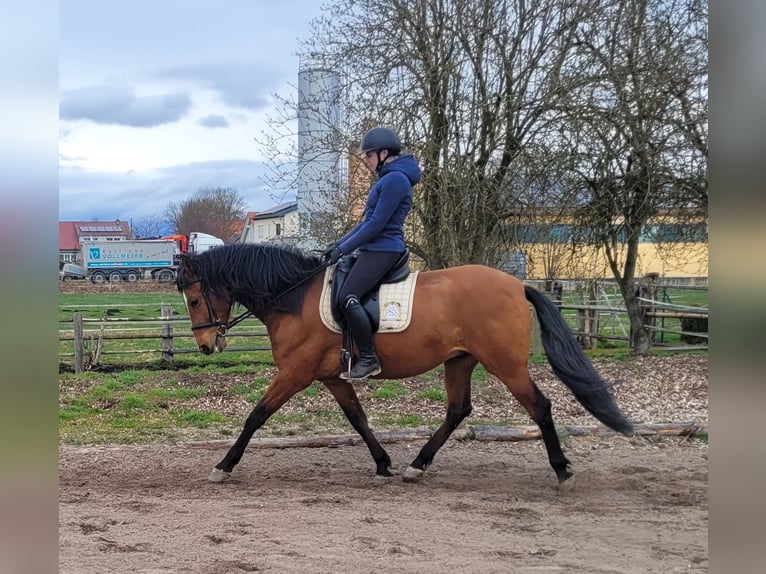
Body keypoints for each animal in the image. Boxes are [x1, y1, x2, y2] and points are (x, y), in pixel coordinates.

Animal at [176, 243, 633, 486]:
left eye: (195, 298)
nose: (206, 345)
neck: (294, 297)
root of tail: (517, 284)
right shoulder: (331, 377)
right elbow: (357, 418)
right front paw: (383, 464)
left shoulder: (296, 374)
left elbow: (256, 416)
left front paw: (223, 465)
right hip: (460, 361)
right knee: (457, 410)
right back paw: (417, 465)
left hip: (505, 364)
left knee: (539, 407)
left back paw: (562, 470)